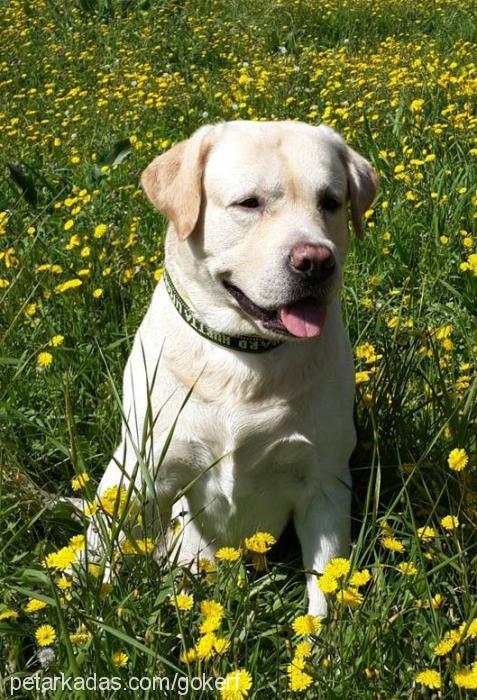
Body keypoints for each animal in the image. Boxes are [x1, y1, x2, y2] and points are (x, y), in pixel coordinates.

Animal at [89, 121, 378, 616]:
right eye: (249, 203)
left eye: (331, 202)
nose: (316, 261)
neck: (246, 359)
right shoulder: (152, 473)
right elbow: (121, 555)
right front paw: (103, 611)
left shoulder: (324, 482)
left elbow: (326, 583)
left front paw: (326, 637)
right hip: (117, 479)